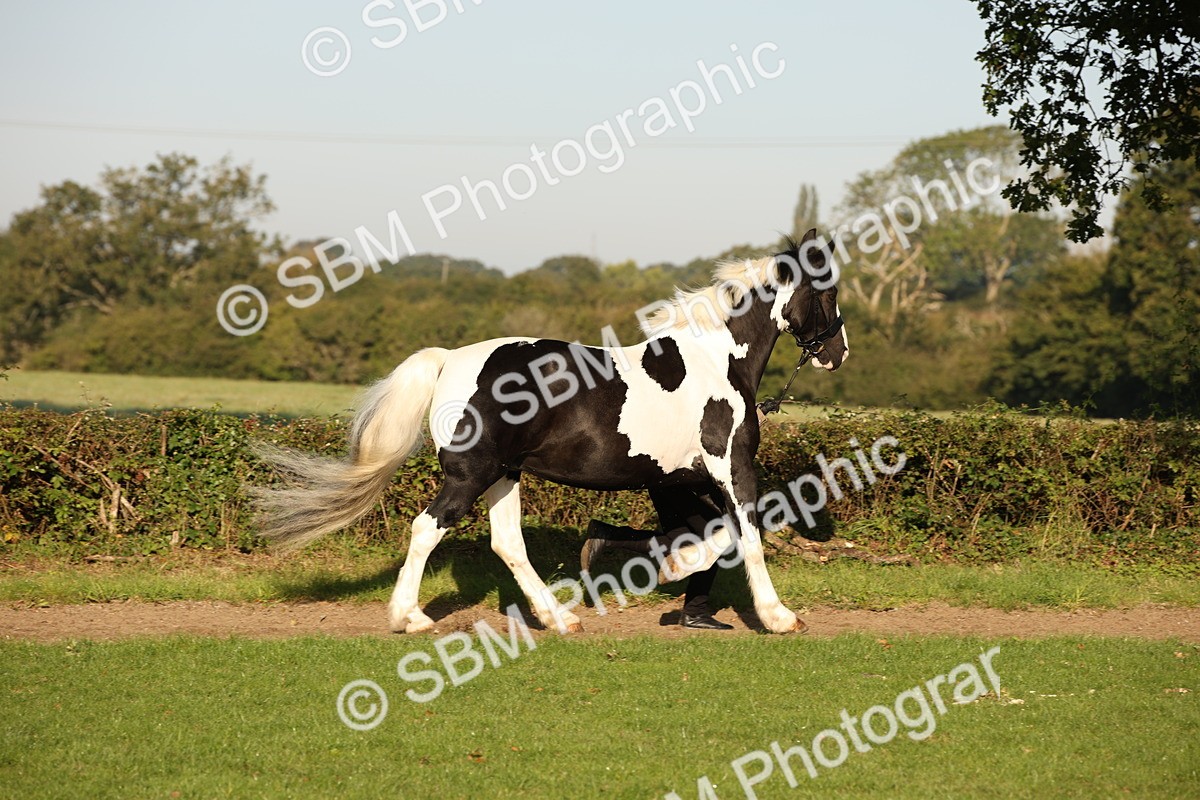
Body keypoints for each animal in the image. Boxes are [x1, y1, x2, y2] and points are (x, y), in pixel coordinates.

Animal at [252, 228, 849, 634]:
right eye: (828, 291)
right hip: (471, 475)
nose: (838, 353)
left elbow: (715, 532)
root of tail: (449, 360)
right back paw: (411, 618)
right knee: (427, 528)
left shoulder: (680, 477)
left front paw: (671, 566)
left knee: (507, 543)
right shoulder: (730, 467)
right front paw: (777, 616)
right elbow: (747, 533)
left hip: (504, 475)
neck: (716, 361)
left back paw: (560, 618)